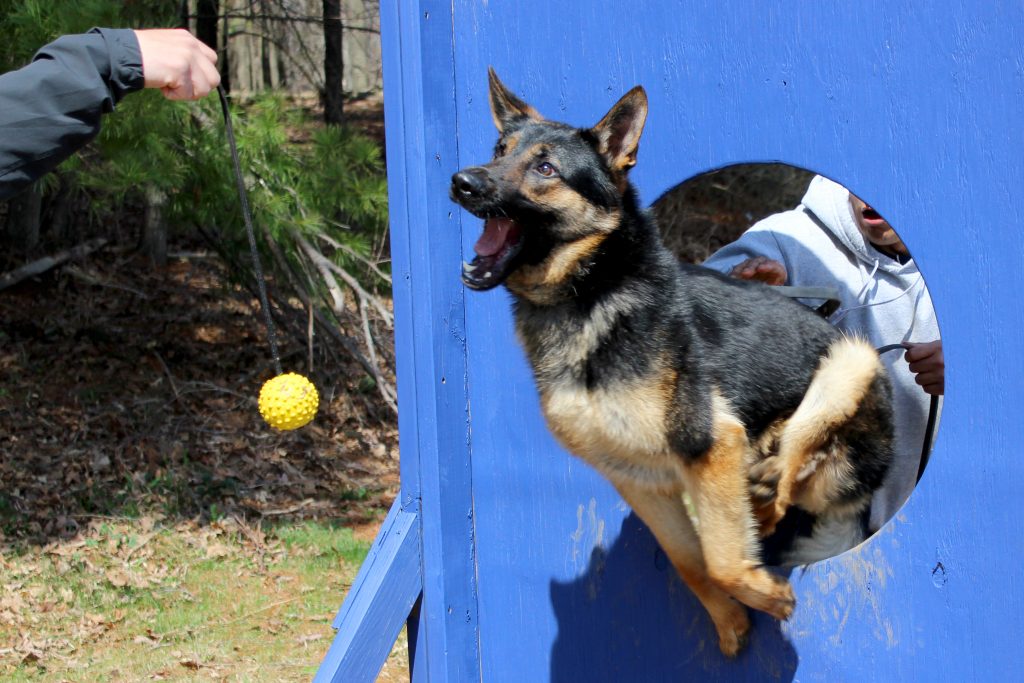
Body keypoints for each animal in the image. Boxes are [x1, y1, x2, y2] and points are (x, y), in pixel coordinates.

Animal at [448, 70, 888, 655]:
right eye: (499, 151)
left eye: (545, 168)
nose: (463, 182)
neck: (592, 295)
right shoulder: (641, 482)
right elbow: (692, 562)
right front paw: (730, 621)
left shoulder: (709, 444)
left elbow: (723, 560)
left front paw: (767, 596)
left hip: (847, 364)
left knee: (794, 471)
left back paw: (770, 476)